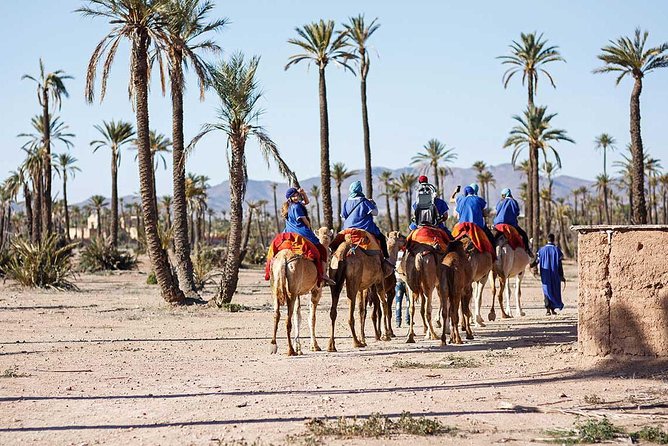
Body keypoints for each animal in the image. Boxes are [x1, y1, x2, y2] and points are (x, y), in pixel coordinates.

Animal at [269, 227, 332, 356]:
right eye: (329, 236)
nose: (330, 249)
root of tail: (283, 259)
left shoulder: (298, 292)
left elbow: (297, 316)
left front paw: (298, 347)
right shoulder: (316, 290)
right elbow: (311, 318)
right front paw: (314, 346)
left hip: (276, 286)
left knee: (276, 314)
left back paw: (274, 346)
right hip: (292, 291)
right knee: (287, 320)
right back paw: (290, 350)